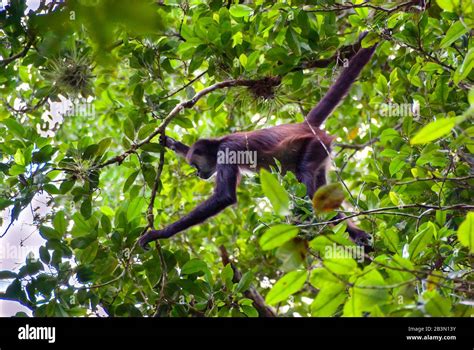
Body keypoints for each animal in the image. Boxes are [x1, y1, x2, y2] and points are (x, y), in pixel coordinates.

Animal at [139, 36, 380, 252]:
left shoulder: (228, 151)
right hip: (321, 153)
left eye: (195, 166)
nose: (198, 174)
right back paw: (357, 234)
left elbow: (224, 197)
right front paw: (169, 141)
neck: (219, 144)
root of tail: (305, 125)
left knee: (305, 175)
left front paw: (157, 234)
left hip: (315, 145)